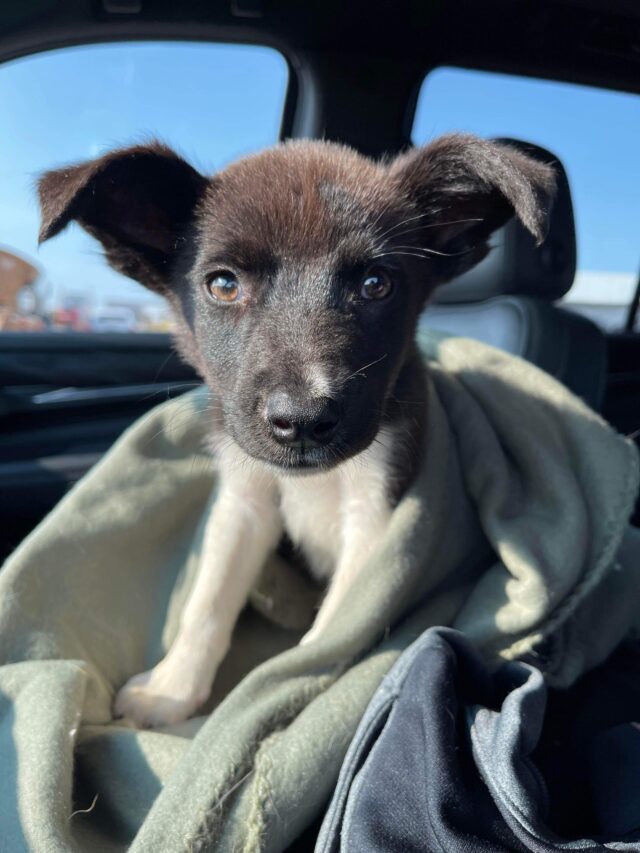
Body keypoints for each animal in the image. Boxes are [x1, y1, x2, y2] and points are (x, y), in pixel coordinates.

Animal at [37, 133, 552, 724]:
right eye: (223, 285)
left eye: (376, 284)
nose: (303, 421)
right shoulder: (245, 500)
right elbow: (208, 600)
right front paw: (170, 689)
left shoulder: (378, 518)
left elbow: (328, 636)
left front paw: (281, 698)